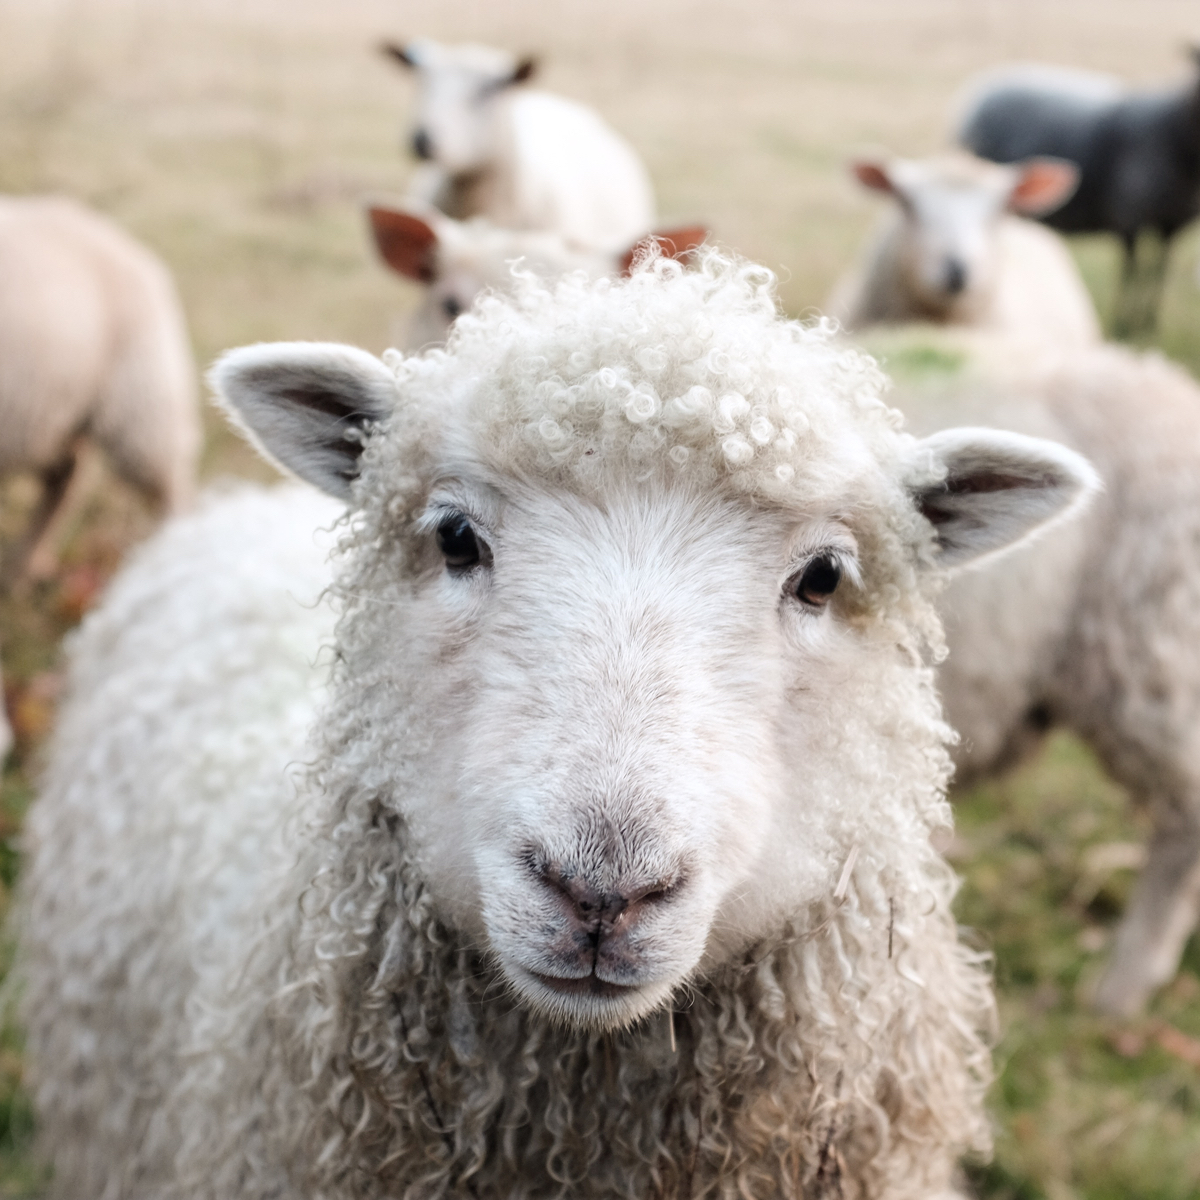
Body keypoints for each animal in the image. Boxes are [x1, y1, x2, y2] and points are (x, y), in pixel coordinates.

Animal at [958, 55, 1200, 336]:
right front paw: (1124, 323)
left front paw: (1147, 322)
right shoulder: (1129, 218)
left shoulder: (1171, 224)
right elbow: (1132, 272)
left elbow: (1157, 271)